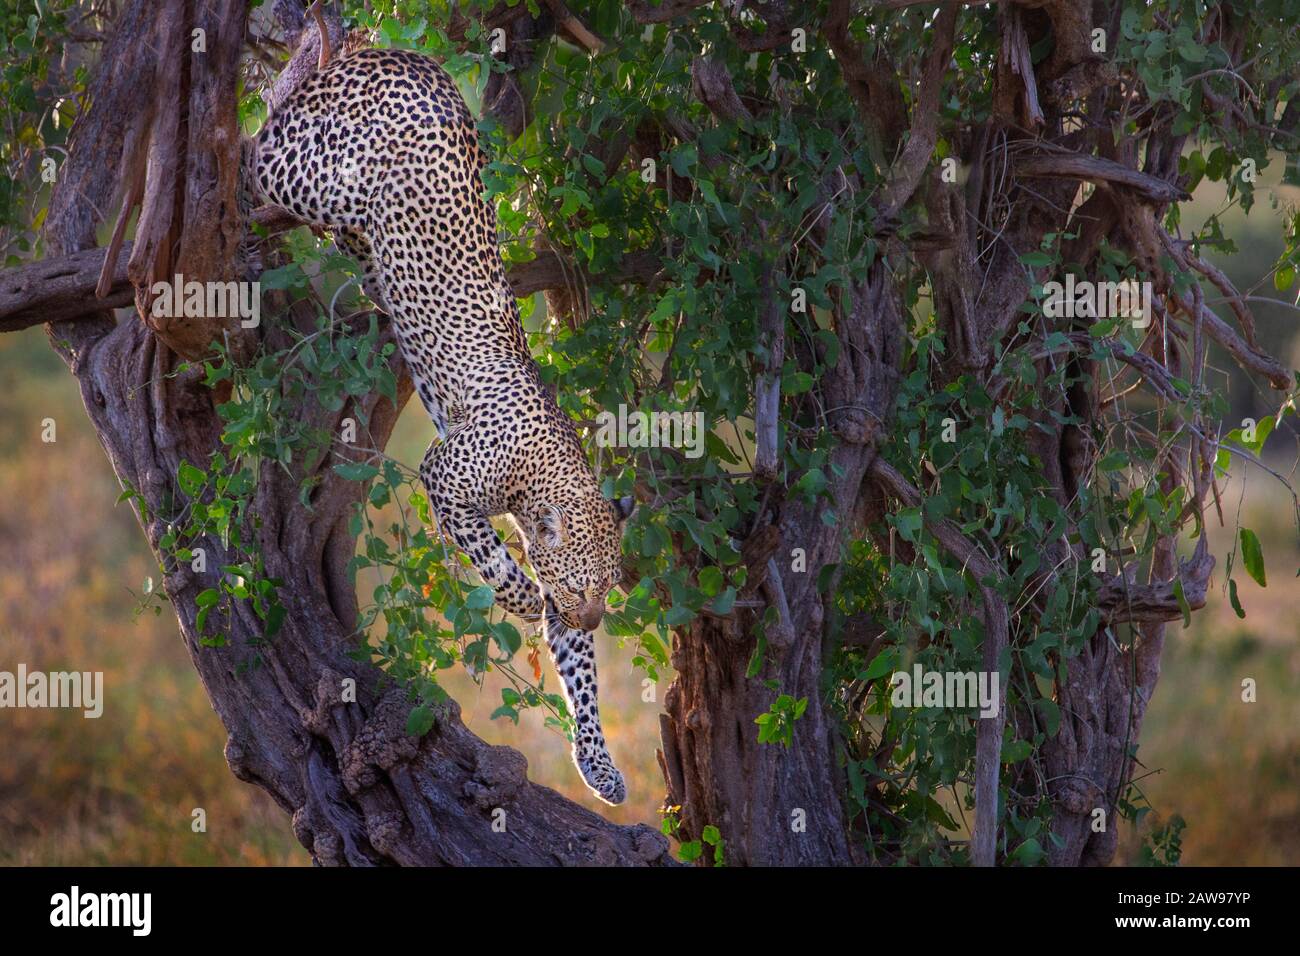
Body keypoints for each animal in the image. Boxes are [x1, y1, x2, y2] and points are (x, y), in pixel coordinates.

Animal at [248, 33, 634, 806]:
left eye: (607, 593)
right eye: (586, 590)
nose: (581, 613)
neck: (543, 473)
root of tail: (405, 58)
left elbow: (582, 674)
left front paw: (599, 766)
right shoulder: (446, 476)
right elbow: (490, 556)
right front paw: (522, 597)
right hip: (317, 176)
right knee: (258, 149)